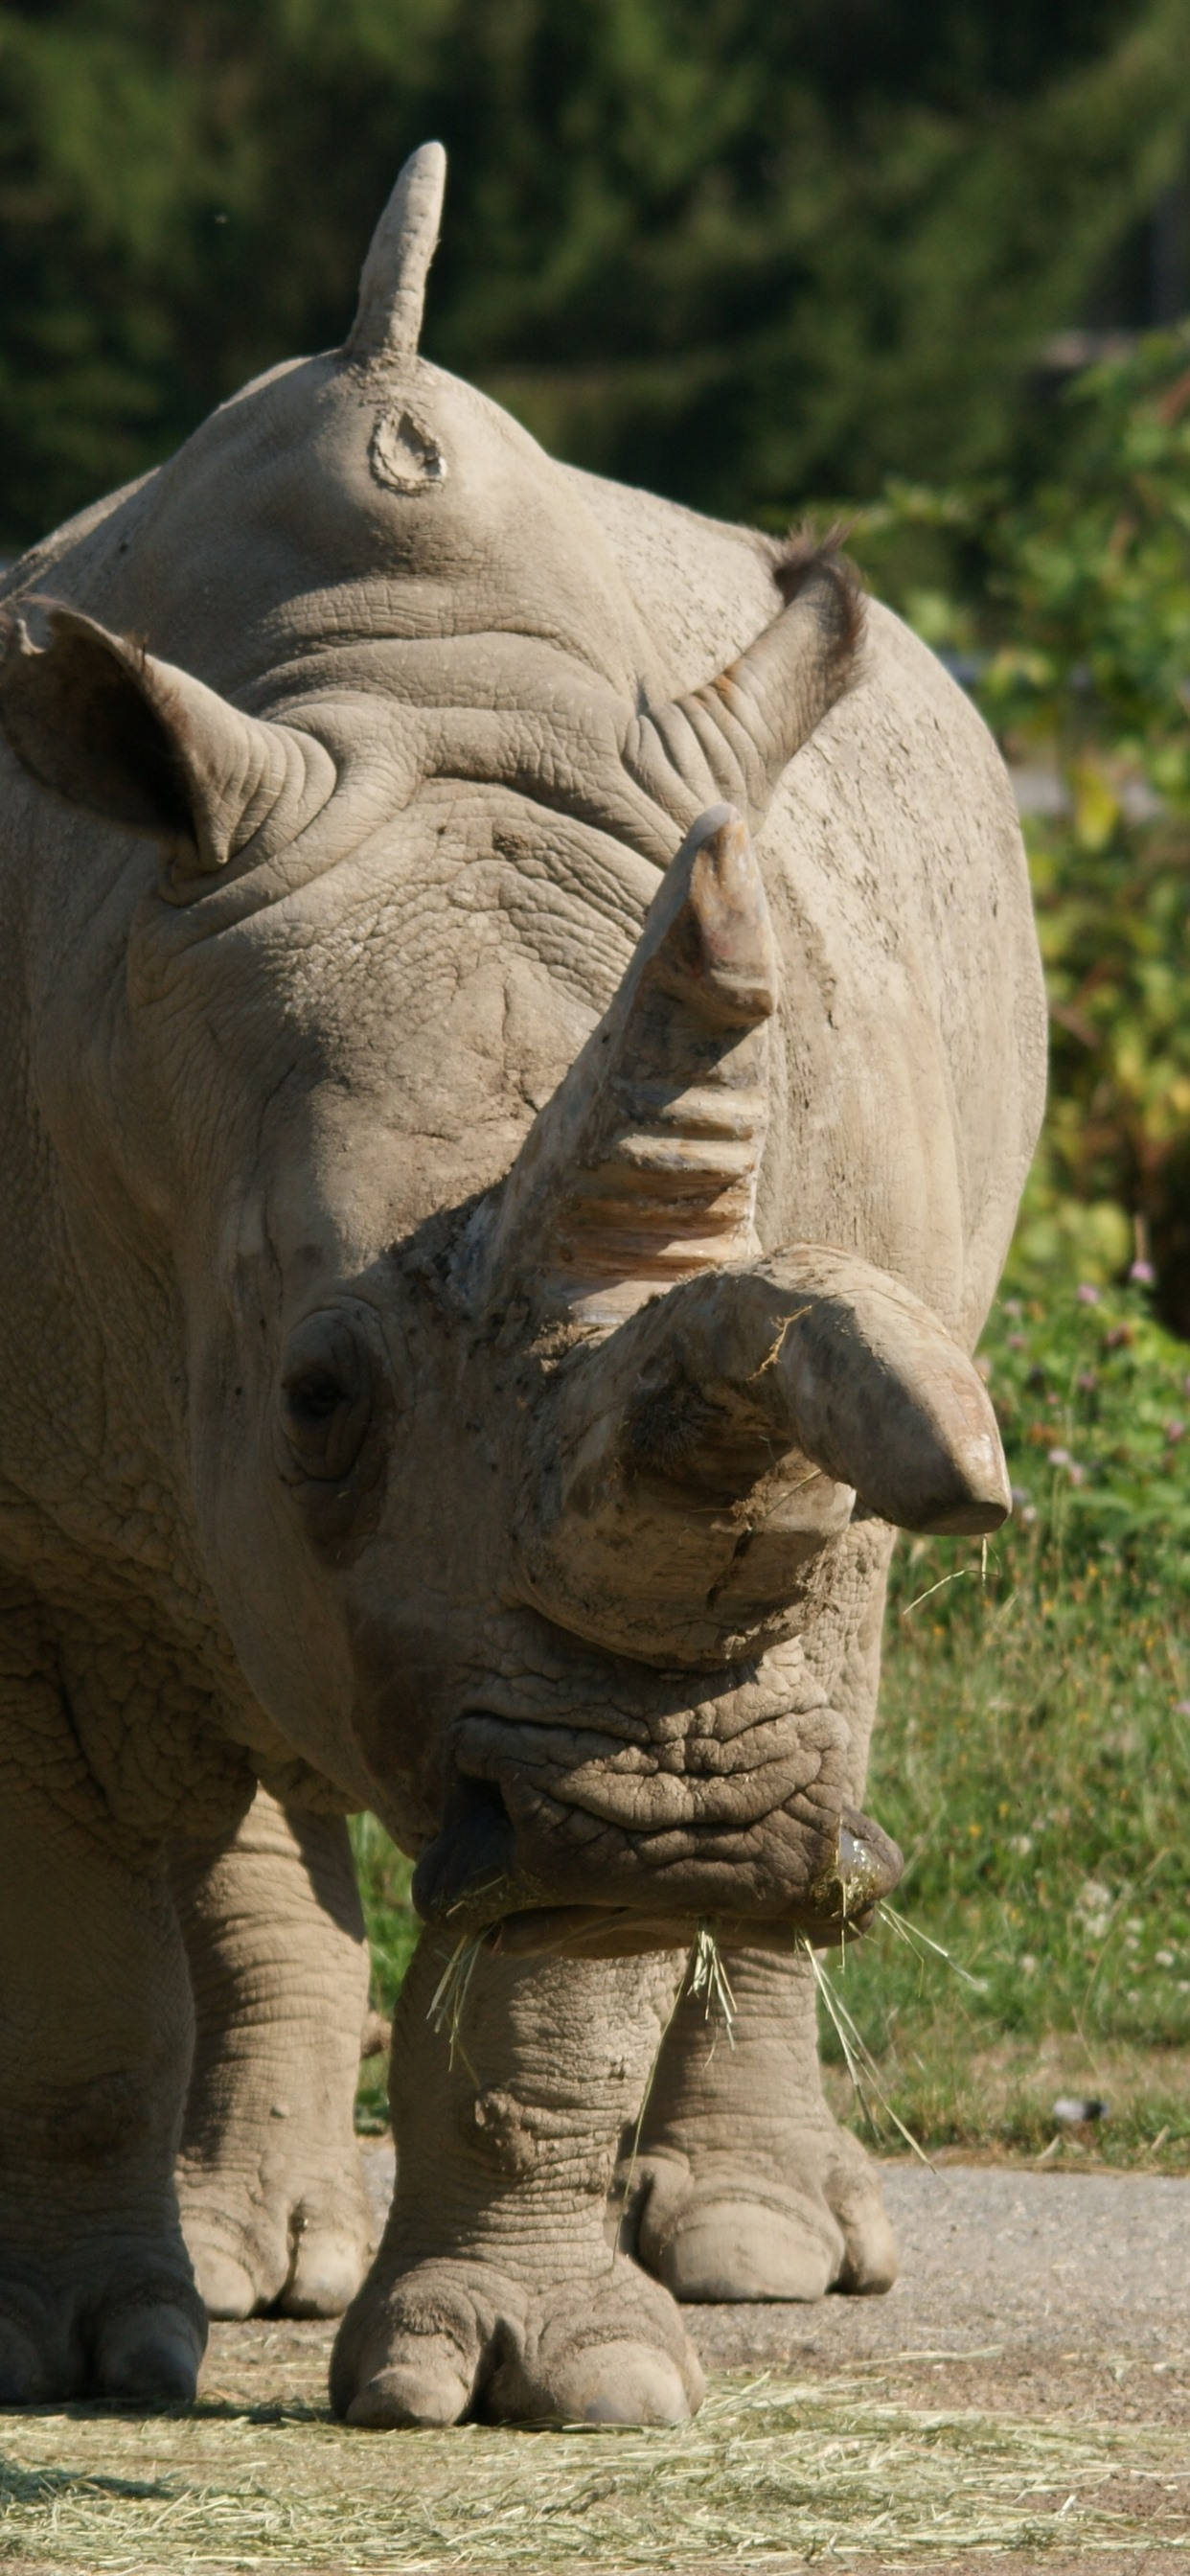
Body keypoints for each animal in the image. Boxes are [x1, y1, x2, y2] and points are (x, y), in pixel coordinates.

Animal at [0, 143, 1044, 2426]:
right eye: (315, 1394)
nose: (687, 1827)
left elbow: (551, 1984)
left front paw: (550, 2382)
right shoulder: (46, 1504)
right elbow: (75, 1923)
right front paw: (70, 2354)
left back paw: (750, 2252)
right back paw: (249, 2256)